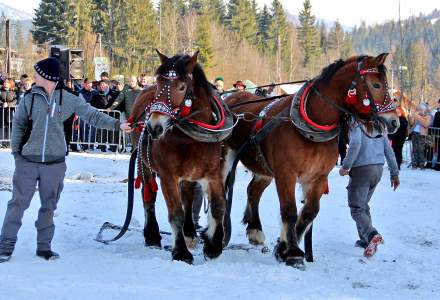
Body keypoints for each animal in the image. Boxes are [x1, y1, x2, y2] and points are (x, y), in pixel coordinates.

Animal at [225, 52, 400, 268]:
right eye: (376, 85)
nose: (395, 122)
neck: (311, 125)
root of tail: (230, 97)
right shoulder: (286, 174)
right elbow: (290, 210)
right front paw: (292, 252)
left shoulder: (317, 177)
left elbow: (309, 212)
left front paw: (282, 248)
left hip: (262, 168)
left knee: (253, 191)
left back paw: (255, 230)